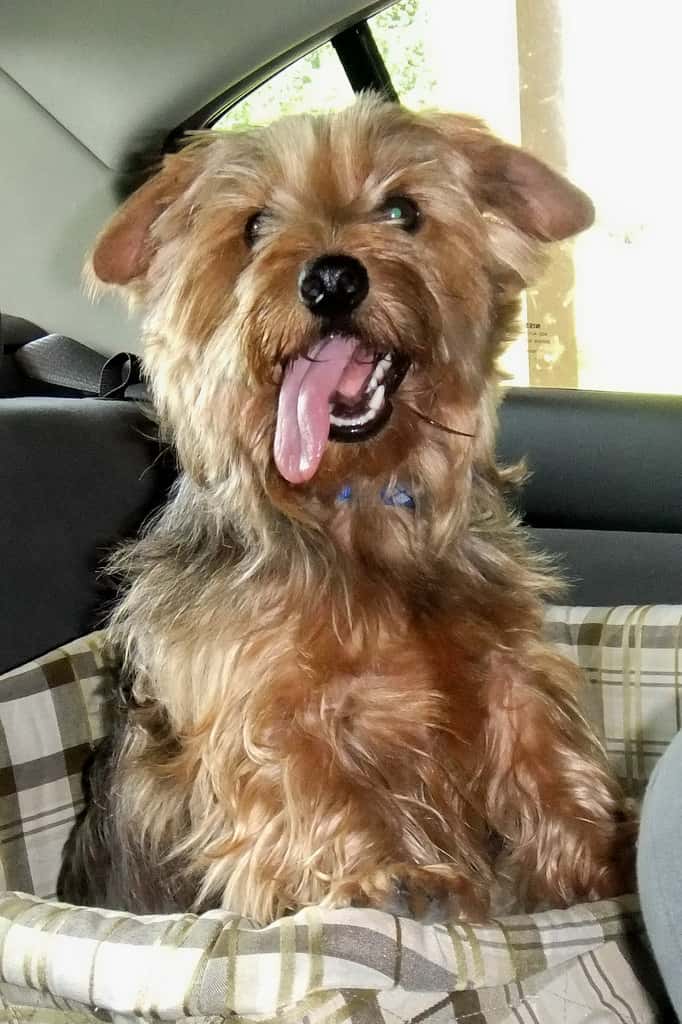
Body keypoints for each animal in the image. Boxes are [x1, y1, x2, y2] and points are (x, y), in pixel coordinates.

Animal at [57, 96, 630, 925]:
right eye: (255, 226)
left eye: (402, 211)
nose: (331, 278)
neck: (355, 505)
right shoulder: (256, 696)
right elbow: (305, 773)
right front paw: (386, 873)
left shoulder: (508, 664)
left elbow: (544, 747)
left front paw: (600, 856)